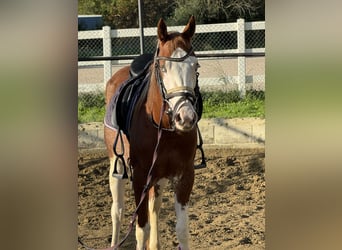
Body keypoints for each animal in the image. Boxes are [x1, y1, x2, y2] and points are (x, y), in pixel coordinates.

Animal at [103, 16, 202, 250]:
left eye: (195, 66)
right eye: (163, 67)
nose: (186, 117)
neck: (165, 129)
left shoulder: (184, 176)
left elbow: (181, 230)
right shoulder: (139, 176)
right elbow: (141, 229)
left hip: (158, 177)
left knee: (154, 206)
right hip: (116, 165)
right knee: (117, 211)